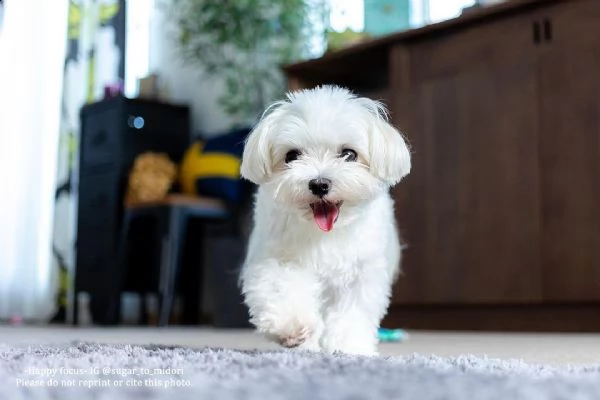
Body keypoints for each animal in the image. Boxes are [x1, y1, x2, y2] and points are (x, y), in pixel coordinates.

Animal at [239, 85, 412, 356]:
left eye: (349, 154)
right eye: (291, 156)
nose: (319, 184)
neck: (324, 233)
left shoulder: (360, 274)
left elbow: (352, 314)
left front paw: (350, 348)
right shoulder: (274, 259)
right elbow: (282, 286)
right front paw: (293, 328)